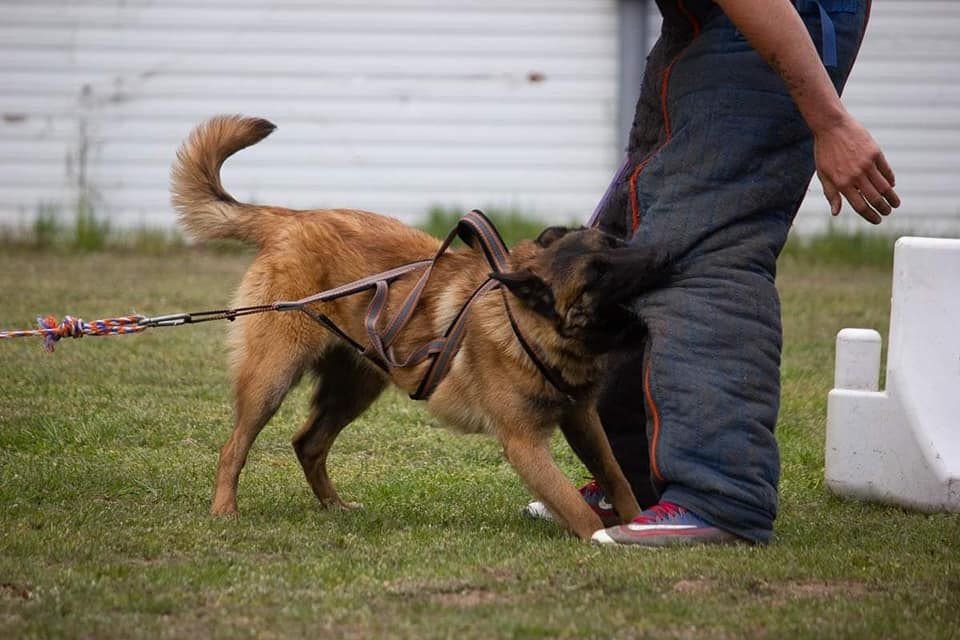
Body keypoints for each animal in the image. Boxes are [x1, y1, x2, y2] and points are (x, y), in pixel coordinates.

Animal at [171, 116, 668, 540]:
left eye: (615, 243)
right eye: (597, 276)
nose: (657, 255)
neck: (525, 326)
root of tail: (292, 218)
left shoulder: (582, 420)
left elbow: (617, 478)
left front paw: (634, 525)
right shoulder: (524, 444)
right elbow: (576, 507)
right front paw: (604, 540)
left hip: (356, 386)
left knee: (307, 443)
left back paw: (335, 507)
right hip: (273, 378)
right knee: (233, 447)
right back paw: (225, 510)